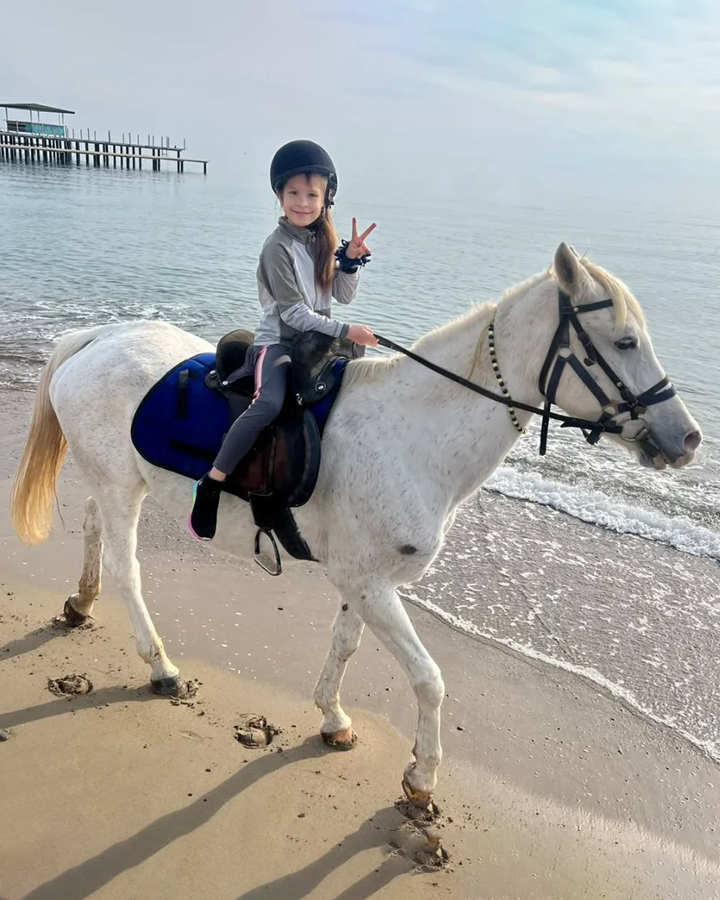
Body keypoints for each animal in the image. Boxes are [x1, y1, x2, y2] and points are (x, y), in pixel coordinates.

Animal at [10, 243, 701, 805]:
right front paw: (421, 779)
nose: (689, 438)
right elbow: (429, 680)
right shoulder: (373, 586)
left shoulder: (365, 580)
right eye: (624, 342)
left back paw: (80, 603)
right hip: (122, 488)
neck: (412, 436)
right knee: (127, 569)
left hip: (115, 481)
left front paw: (333, 720)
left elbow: (345, 645)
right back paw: (160, 667)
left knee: (94, 530)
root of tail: (97, 337)